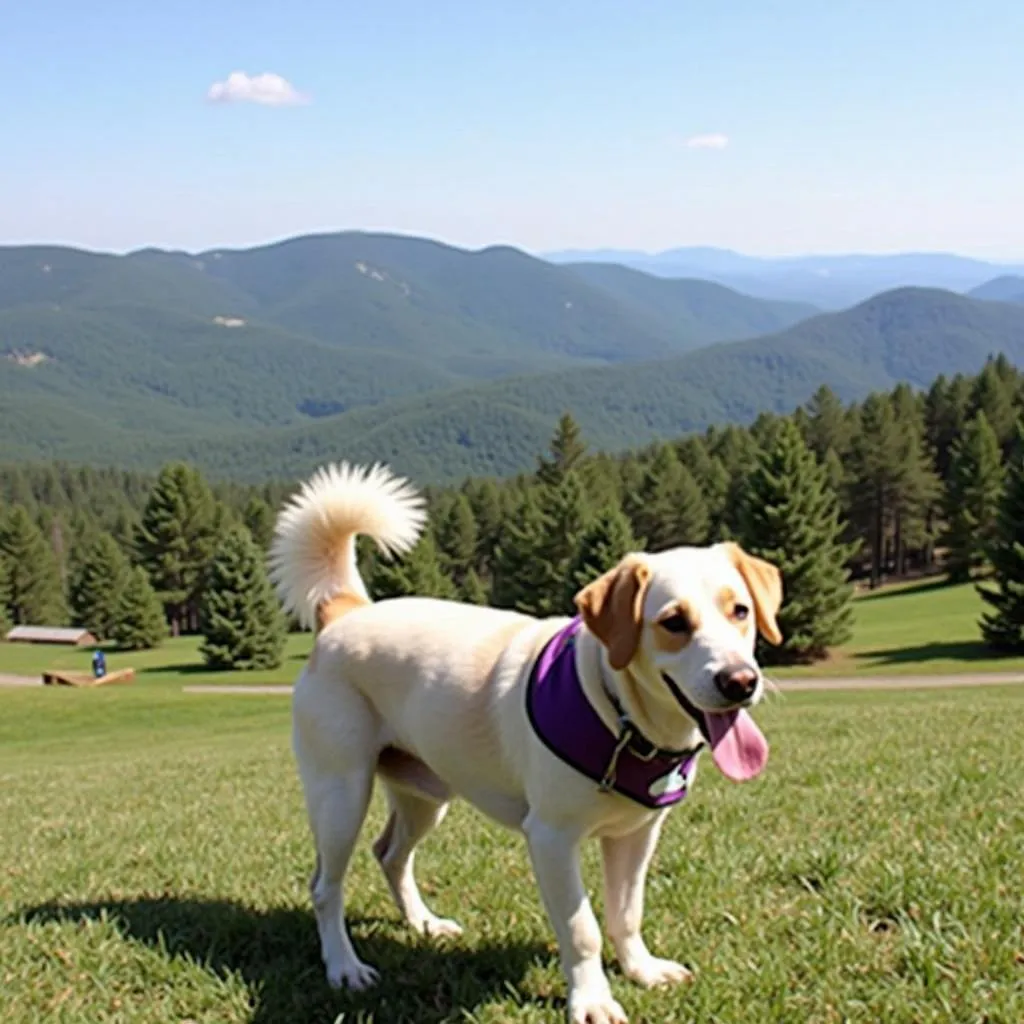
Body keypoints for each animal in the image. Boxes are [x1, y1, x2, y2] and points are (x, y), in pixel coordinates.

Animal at [268, 462, 778, 1024]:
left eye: (740, 611)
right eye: (673, 622)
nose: (741, 681)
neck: (621, 718)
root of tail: (346, 611)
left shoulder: (638, 833)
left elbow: (626, 912)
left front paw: (642, 970)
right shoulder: (551, 838)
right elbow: (583, 930)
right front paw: (593, 1001)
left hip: (426, 795)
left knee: (390, 855)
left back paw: (424, 924)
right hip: (340, 793)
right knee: (325, 887)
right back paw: (344, 967)